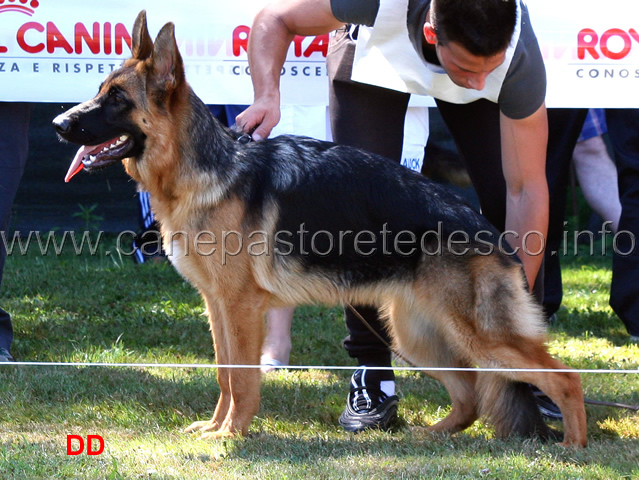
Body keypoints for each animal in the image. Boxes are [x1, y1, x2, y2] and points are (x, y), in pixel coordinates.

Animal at [52, 11, 588, 446]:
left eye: (116, 99)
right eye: (99, 91)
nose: (58, 124)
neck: (205, 169)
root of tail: (494, 236)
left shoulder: (240, 308)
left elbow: (242, 379)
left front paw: (232, 435)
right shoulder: (217, 306)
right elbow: (225, 374)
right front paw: (216, 427)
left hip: (476, 337)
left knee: (564, 377)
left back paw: (573, 446)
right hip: (419, 337)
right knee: (472, 393)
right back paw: (431, 435)